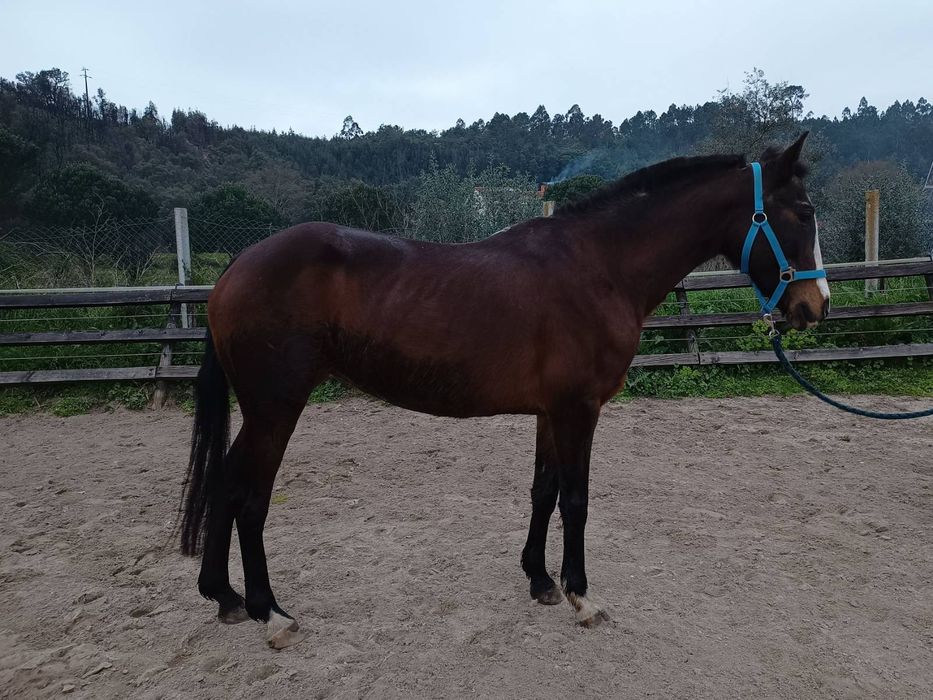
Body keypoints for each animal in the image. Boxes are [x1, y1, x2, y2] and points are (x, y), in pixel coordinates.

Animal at [179, 133, 829, 648]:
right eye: (802, 212)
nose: (815, 306)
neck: (599, 266)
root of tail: (237, 266)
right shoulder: (578, 410)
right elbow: (576, 500)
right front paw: (582, 596)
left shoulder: (550, 411)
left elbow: (543, 491)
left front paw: (540, 580)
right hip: (275, 409)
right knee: (248, 499)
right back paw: (269, 613)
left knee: (224, 485)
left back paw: (225, 598)